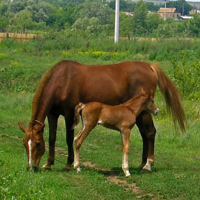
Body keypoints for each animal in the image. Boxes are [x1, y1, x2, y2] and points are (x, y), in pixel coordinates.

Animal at [18, 59, 185, 172]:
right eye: (25, 144)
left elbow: (68, 138)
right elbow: (52, 138)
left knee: (150, 133)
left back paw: (148, 165)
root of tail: (149, 66)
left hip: (145, 111)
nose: (31, 167)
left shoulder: (69, 114)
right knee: (145, 134)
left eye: (37, 144)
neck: (62, 81)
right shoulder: (52, 114)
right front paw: (48, 163)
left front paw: (69, 164)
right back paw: (142, 163)